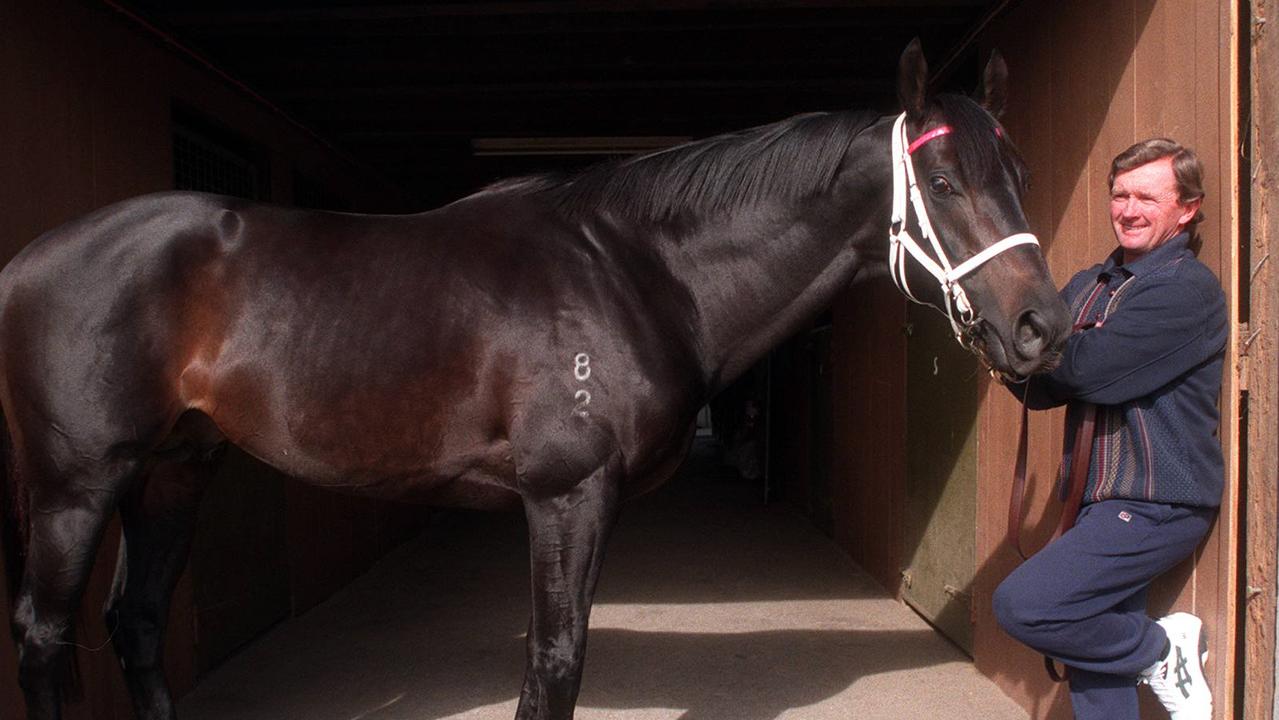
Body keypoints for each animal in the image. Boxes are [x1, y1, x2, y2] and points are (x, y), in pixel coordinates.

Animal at [0, 43, 1069, 720]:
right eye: (943, 185)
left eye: (1018, 173)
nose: (1041, 329)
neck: (640, 267)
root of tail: (25, 264)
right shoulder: (565, 497)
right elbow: (554, 667)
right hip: (76, 489)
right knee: (44, 639)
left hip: (174, 472)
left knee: (135, 626)